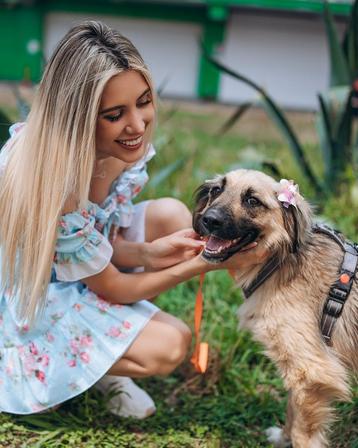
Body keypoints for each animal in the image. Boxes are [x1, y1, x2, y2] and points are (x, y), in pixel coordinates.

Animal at [193, 169, 358, 448]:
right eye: (216, 190)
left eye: (252, 201)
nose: (209, 220)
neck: (279, 264)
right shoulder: (299, 369)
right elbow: (292, 408)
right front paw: (283, 437)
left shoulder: (313, 372)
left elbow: (302, 431)